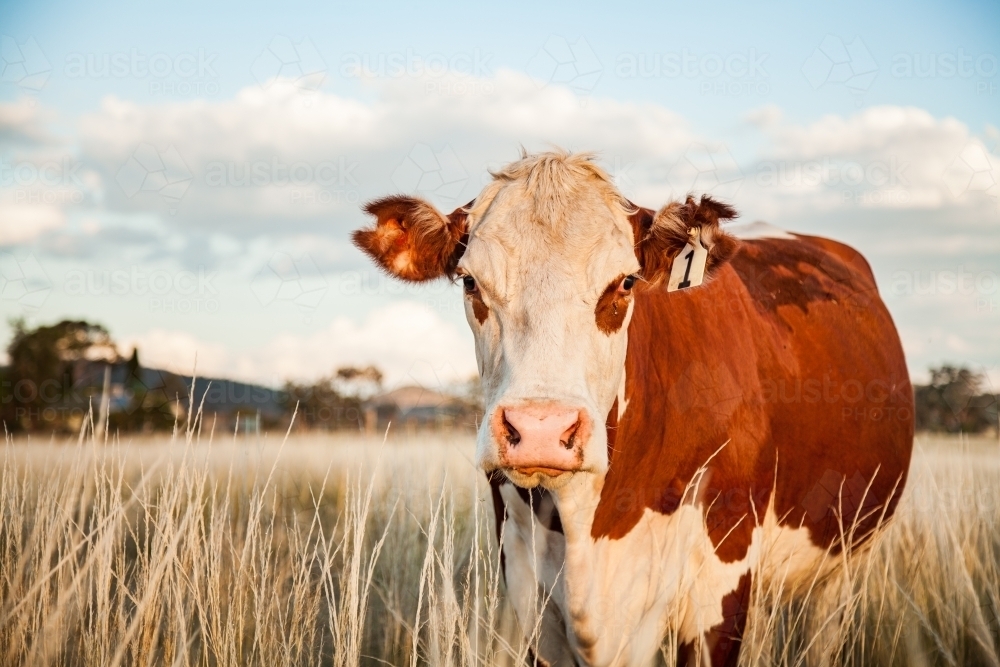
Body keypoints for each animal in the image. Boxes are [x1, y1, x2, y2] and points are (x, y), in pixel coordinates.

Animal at [352, 151, 916, 667]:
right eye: (471, 282)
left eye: (624, 283)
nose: (541, 429)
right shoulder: (531, 595)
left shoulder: (720, 589)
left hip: (844, 564)